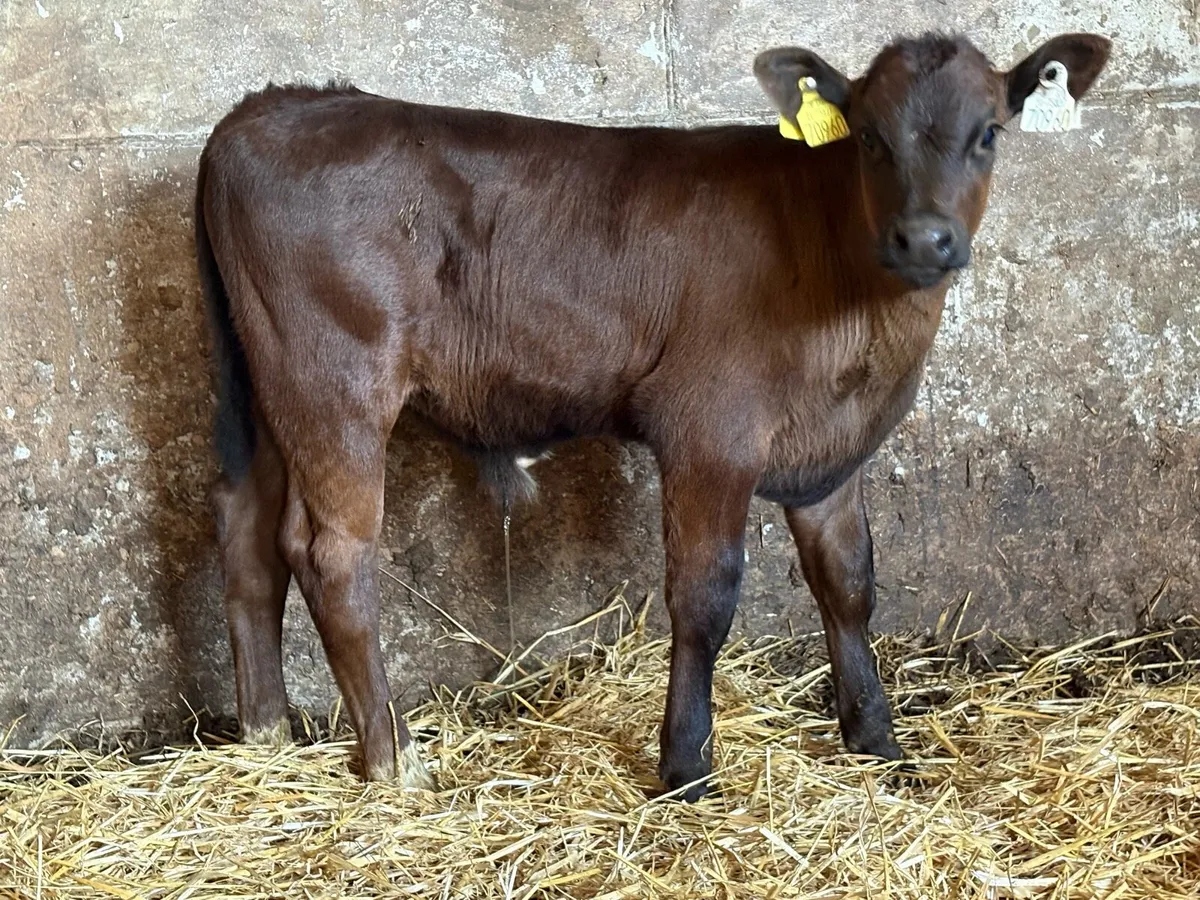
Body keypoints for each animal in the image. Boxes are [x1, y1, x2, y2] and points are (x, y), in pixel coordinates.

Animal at [195, 31, 1110, 800]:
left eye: (988, 132)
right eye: (869, 137)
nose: (925, 239)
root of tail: (270, 106)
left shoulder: (830, 450)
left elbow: (849, 584)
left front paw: (878, 742)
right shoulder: (711, 429)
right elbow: (704, 597)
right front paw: (685, 766)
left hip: (262, 387)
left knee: (249, 533)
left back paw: (268, 732)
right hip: (335, 380)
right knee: (333, 556)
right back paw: (394, 761)